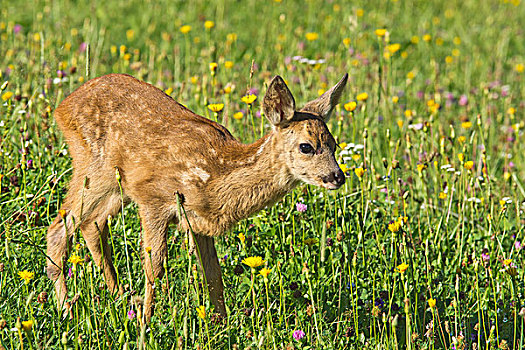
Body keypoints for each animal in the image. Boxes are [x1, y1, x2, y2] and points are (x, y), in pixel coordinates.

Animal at [46, 72, 348, 322]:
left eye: (334, 144)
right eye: (306, 147)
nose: (337, 177)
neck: (215, 175)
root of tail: (62, 106)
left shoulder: (199, 223)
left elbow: (214, 274)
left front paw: (222, 325)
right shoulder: (153, 199)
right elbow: (155, 266)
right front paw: (146, 324)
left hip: (116, 186)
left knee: (92, 225)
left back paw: (121, 298)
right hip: (94, 168)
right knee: (60, 226)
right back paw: (67, 310)